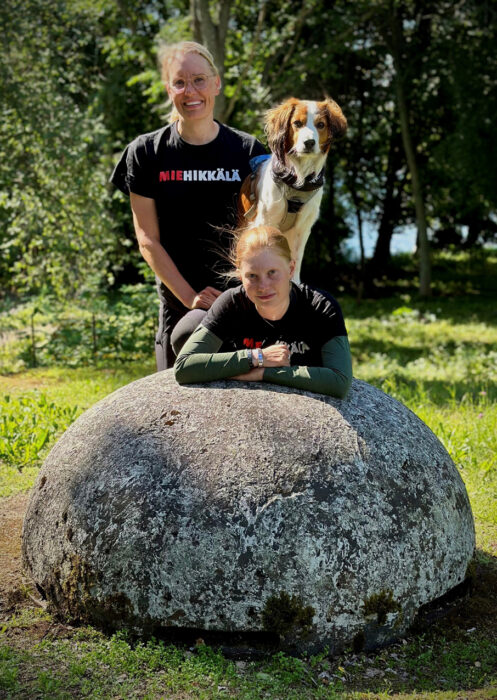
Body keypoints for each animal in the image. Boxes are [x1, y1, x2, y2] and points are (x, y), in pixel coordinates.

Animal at [238, 97, 346, 284]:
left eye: (321, 124)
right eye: (297, 123)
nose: (309, 142)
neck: (298, 180)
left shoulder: (303, 227)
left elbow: (296, 256)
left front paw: (294, 282)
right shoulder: (265, 221)